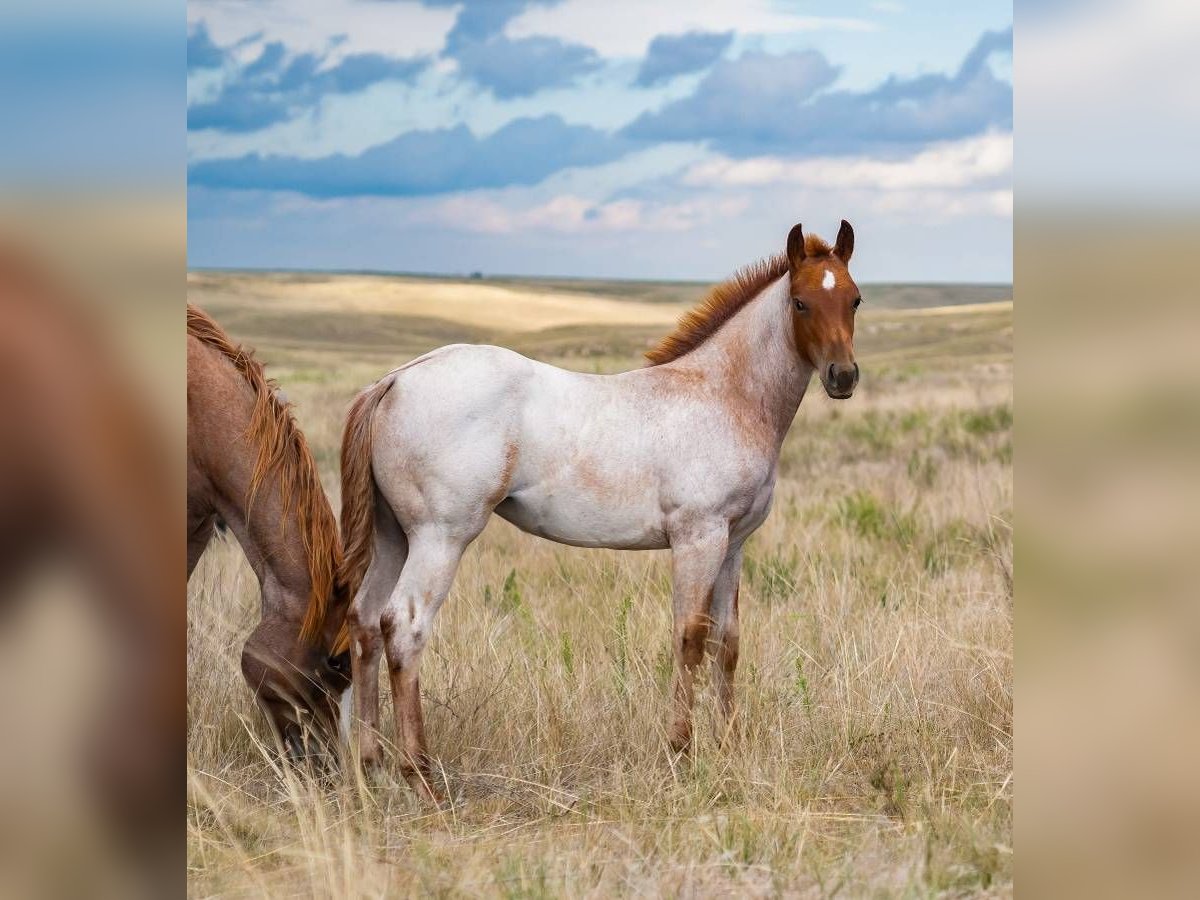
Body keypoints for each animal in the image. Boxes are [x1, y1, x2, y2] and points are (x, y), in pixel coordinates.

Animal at [343, 222, 859, 801]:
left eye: (855, 299)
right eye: (800, 302)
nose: (843, 376)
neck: (725, 396)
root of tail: (395, 380)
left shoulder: (734, 542)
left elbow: (726, 641)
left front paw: (729, 746)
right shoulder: (698, 537)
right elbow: (690, 637)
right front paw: (681, 751)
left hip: (394, 537)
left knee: (365, 621)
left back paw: (371, 764)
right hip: (440, 537)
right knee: (404, 627)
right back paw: (421, 774)